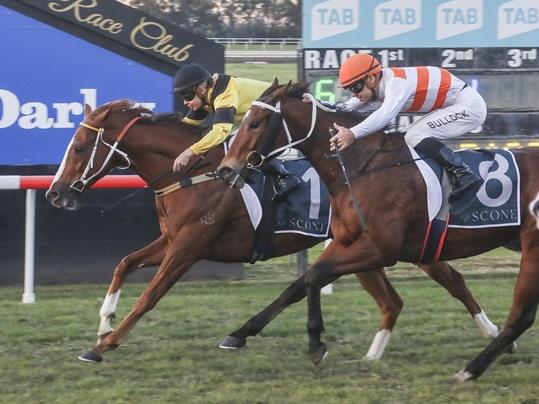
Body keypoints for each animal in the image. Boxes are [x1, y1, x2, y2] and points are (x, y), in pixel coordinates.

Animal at [47, 100, 506, 362]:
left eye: (80, 148)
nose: (54, 193)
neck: (192, 173)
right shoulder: (172, 240)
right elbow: (125, 263)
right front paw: (104, 321)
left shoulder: (189, 246)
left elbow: (149, 296)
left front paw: (103, 345)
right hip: (377, 246)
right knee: (418, 290)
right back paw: (494, 336)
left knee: (443, 282)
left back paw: (494, 334)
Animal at [216, 80, 536, 380]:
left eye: (255, 123)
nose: (226, 169)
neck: (360, 167)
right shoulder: (347, 241)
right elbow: (299, 284)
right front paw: (240, 333)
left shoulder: (380, 249)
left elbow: (315, 277)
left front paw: (316, 343)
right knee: (455, 285)